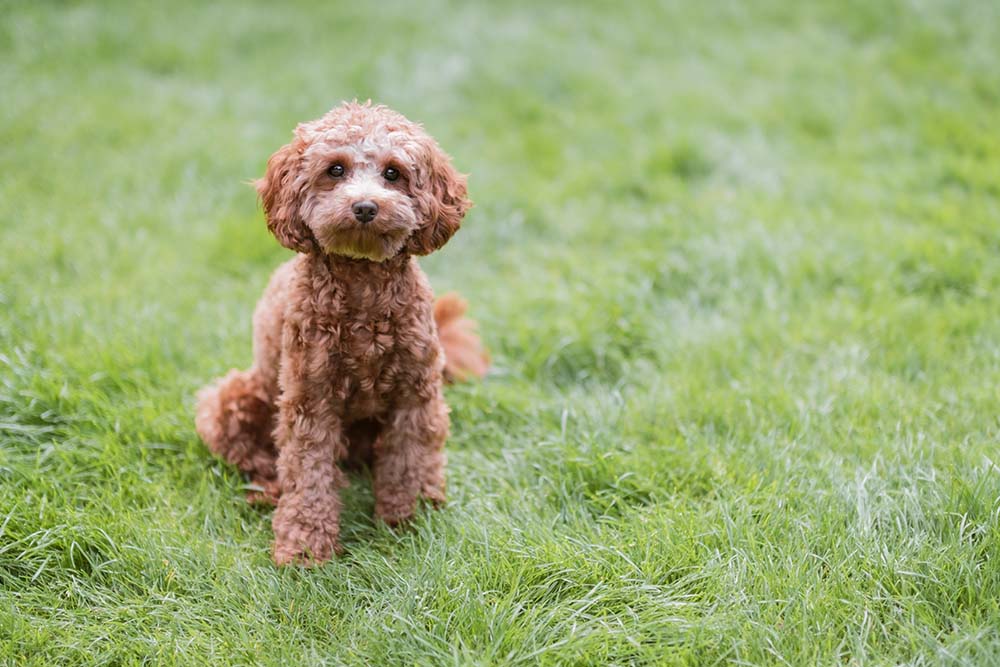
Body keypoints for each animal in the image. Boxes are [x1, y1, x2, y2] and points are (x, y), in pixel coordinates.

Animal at [195, 102, 488, 568]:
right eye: (335, 169)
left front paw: (404, 523)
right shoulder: (310, 401)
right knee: (260, 459)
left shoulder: (415, 395)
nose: (365, 207)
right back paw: (268, 492)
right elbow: (308, 472)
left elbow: (407, 460)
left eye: (393, 173)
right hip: (232, 400)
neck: (363, 286)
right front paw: (304, 547)